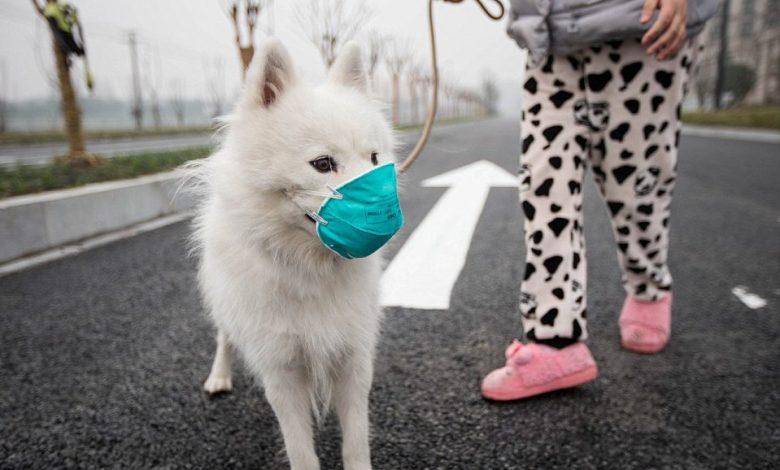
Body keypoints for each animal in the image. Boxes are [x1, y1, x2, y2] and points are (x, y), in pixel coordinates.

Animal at [190, 39, 396, 470]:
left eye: (374, 159)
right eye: (322, 164)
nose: (384, 210)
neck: (310, 266)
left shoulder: (353, 357)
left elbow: (356, 442)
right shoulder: (281, 370)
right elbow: (300, 449)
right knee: (223, 336)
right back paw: (219, 376)